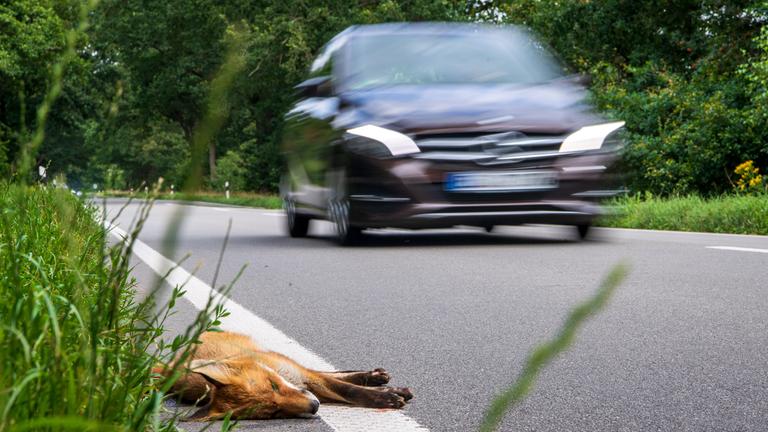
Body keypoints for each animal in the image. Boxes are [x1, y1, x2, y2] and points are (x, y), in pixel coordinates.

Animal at [154, 331, 414, 420]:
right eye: (274, 413)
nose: (314, 407)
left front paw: (387, 395)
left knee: (331, 372)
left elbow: (348, 389)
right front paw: (387, 395)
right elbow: (348, 390)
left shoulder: (303, 377)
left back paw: (376, 377)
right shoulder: (310, 385)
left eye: (274, 386)